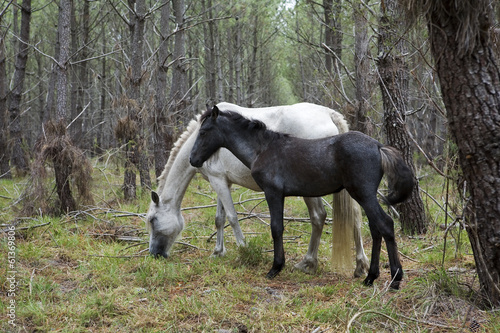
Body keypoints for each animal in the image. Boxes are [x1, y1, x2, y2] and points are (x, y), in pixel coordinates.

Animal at [146, 102, 370, 276]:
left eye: (153, 220)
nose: (154, 254)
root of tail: (329, 114)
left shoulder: (218, 181)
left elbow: (232, 217)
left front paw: (244, 249)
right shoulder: (222, 182)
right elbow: (219, 218)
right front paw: (218, 252)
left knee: (318, 217)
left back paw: (309, 262)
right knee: (354, 217)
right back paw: (359, 265)